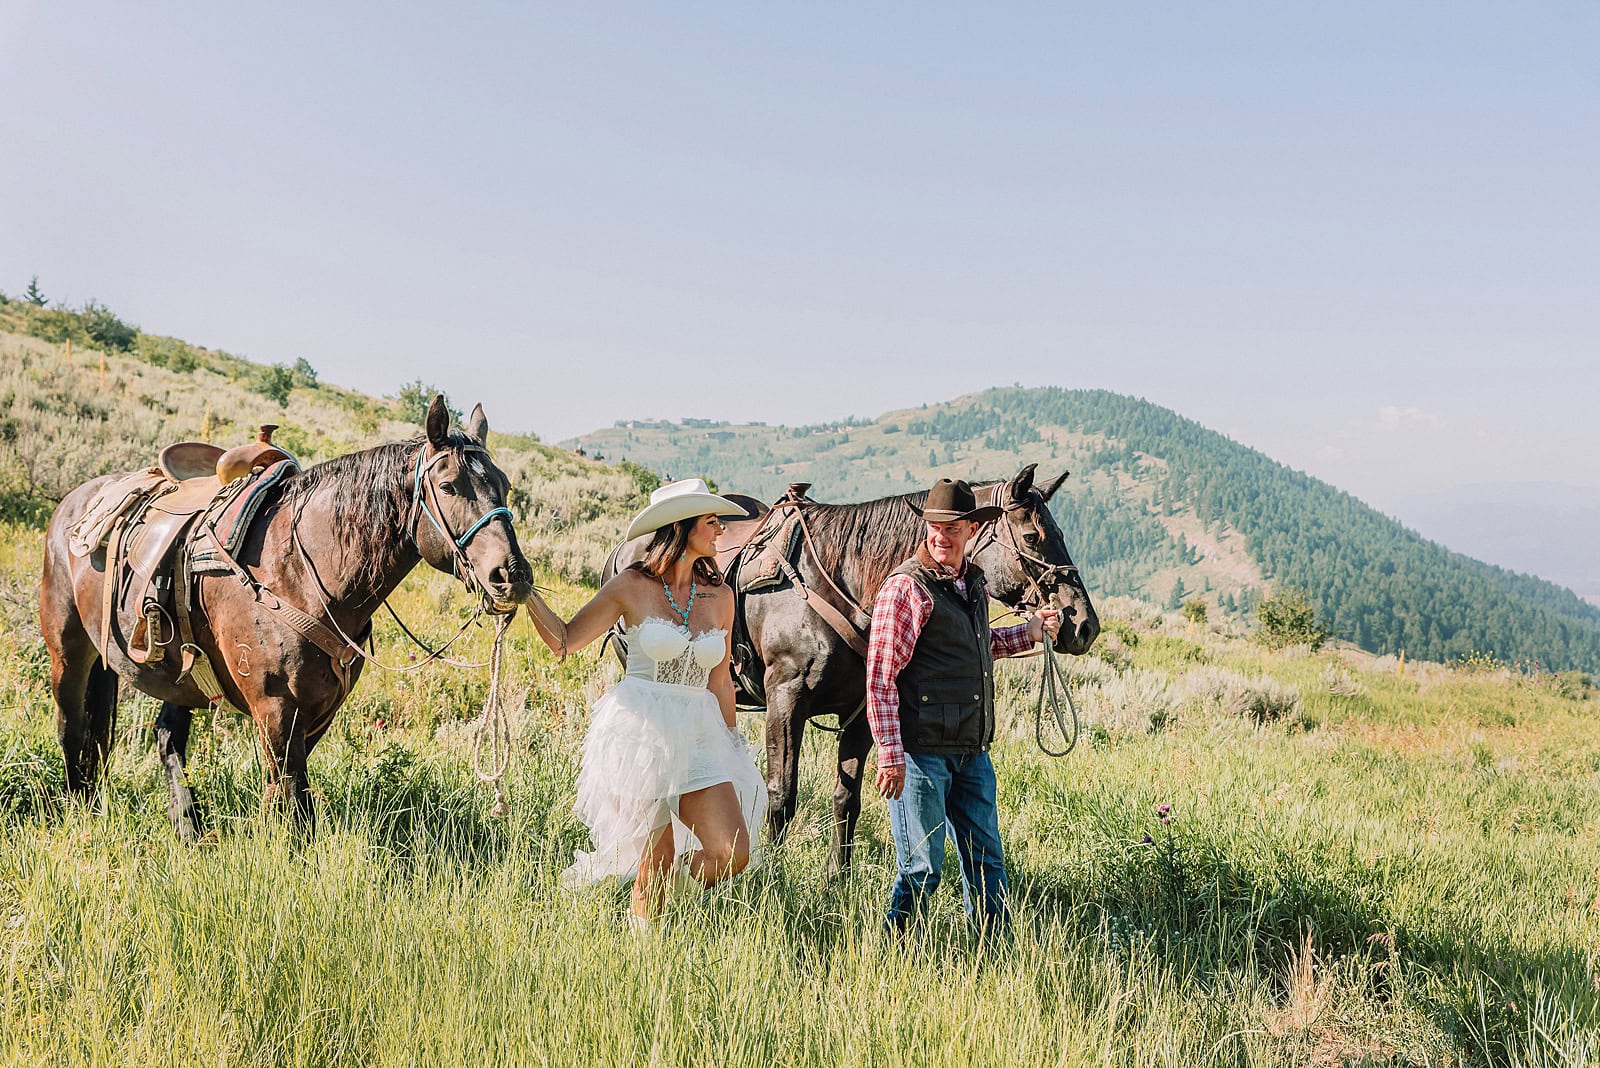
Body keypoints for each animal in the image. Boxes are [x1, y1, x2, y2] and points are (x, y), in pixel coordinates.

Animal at [39, 396, 531, 837]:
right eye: (449, 486)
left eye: (504, 485)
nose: (512, 575)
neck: (298, 569)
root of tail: (74, 500)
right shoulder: (274, 708)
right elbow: (290, 800)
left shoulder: (318, 711)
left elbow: (292, 796)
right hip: (68, 650)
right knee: (71, 726)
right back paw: (79, 810)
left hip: (181, 675)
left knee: (165, 737)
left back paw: (187, 827)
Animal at [604, 463, 1094, 876]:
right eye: (1032, 537)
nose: (1082, 623)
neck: (843, 582)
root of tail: (624, 547)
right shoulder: (786, 699)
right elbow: (783, 795)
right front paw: (772, 877)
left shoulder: (861, 713)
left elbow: (847, 799)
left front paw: (838, 879)